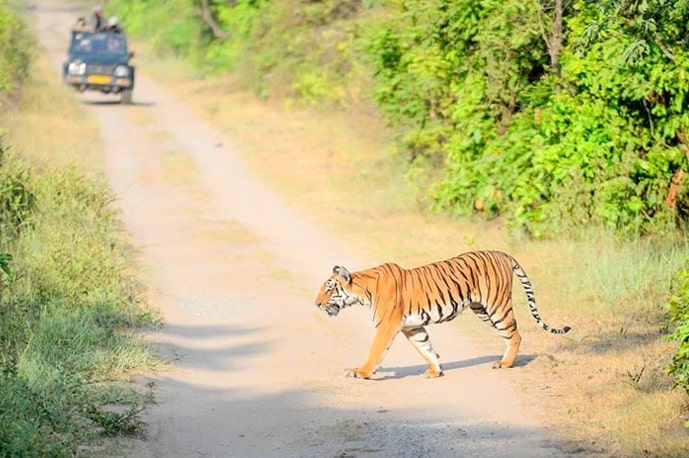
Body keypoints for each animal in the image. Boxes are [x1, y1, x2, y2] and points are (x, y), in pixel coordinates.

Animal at [314, 250, 568, 380]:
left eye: (329, 289)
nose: (316, 304)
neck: (363, 290)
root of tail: (503, 253)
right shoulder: (412, 327)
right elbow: (426, 348)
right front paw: (436, 371)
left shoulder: (387, 325)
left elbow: (375, 351)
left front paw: (361, 372)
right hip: (482, 310)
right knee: (510, 333)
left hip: (497, 306)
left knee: (514, 334)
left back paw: (505, 363)